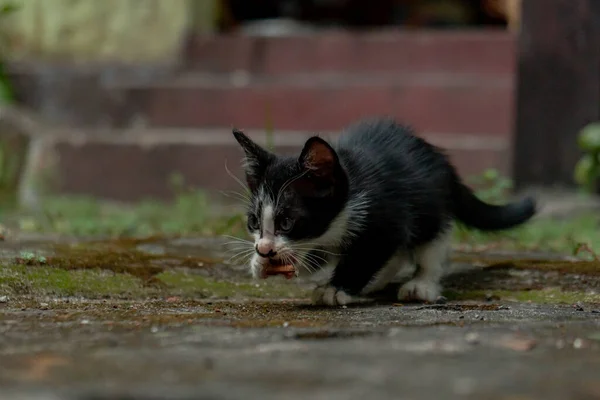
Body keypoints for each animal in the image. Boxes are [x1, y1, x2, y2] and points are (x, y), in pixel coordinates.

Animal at [231, 117, 536, 304]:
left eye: (287, 222)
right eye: (254, 221)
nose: (264, 249)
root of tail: (440, 158)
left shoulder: (388, 217)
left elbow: (366, 254)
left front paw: (334, 288)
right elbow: (314, 259)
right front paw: (260, 263)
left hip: (430, 207)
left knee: (430, 244)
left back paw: (421, 284)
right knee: (399, 253)